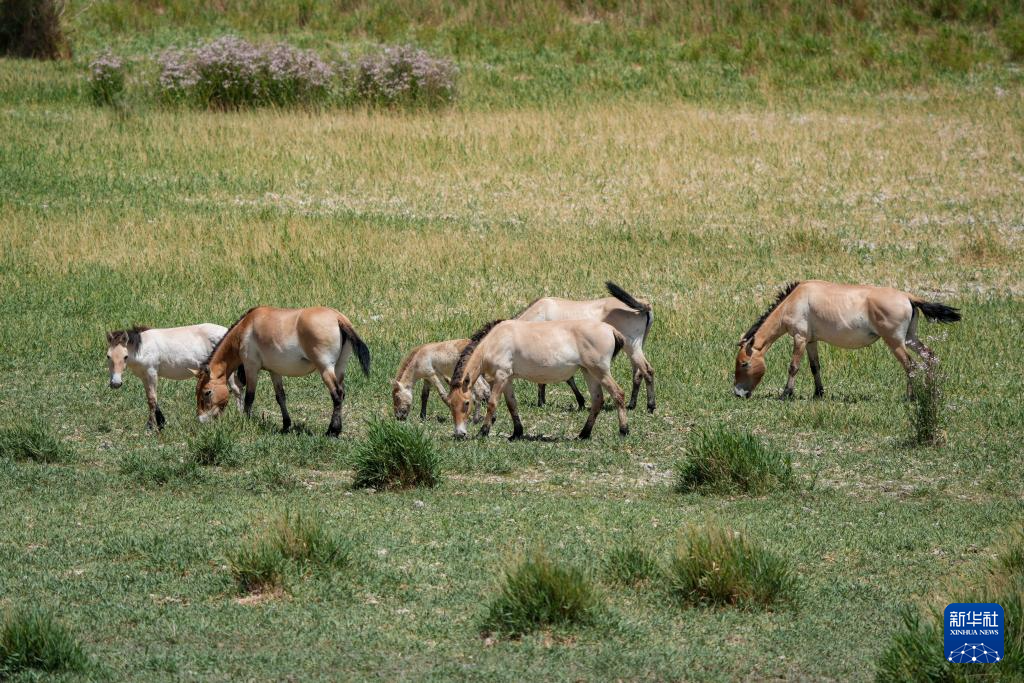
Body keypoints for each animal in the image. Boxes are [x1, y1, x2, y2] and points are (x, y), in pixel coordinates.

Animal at [106, 324, 244, 430]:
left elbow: (152, 400)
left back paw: (239, 414)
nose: (115, 383)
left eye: (125, 357)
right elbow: (151, 399)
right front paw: (160, 422)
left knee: (236, 390)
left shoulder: (151, 373)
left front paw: (151, 427)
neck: (142, 348)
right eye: (108, 356)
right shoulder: (144, 377)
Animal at [194, 306, 371, 437]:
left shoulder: (251, 367)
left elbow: (250, 397)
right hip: (339, 368)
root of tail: (338, 318)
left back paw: (332, 431)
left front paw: (246, 421)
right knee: (342, 394)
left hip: (326, 369)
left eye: (207, 392)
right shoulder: (275, 372)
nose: (201, 420)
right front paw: (286, 425)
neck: (245, 328)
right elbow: (280, 397)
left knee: (337, 395)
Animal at [447, 319, 629, 440]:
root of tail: (610, 329)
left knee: (618, 394)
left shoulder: (501, 377)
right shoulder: (508, 380)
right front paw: (516, 433)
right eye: (450, 404)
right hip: (589, 372)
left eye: (467, 403)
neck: (494, 341)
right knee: (598, 400)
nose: (459, 434)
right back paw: (583, 434)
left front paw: (483, 432)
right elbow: (512, 405)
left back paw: (623, 431)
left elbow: (492, 403)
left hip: (600, 372)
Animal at [516, 281, 655, 412]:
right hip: (636, 348)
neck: (541, 311)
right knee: (638, 373)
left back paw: (651, 406)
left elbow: (563, 378)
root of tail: (644, 305)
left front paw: (543, 402)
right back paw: (632, 404)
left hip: (632, 347)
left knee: (647, 370)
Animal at [733, 280, 961, 400]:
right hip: (911, 339)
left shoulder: (799, 338)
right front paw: (819, 393)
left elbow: (794, 367)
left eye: (744, 364)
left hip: (896, 342)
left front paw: (786, 394)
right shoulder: (811, 341)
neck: (795, 299)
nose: (737, 393)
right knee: (930, 357)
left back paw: (910, 397)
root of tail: (908, 297)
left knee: (910, 365)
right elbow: (815, 367)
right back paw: (930, 392)